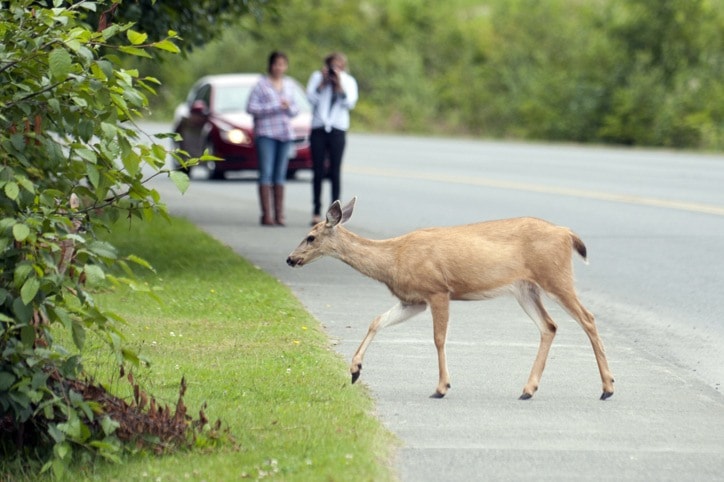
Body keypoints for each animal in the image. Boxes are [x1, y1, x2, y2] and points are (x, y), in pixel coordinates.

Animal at [286, 198, 612, 402]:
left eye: (311, 237)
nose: (290, 259)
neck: (393, 259)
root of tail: (567, 234)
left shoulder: (437, 290)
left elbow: (439, 338)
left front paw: (442, 387)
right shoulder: (413, 300)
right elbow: (376, 321)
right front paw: (355, 370)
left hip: (555, 276)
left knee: (587, 318)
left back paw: (607, 388)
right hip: (524, 288)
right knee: (549, 326)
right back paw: (528, 389)